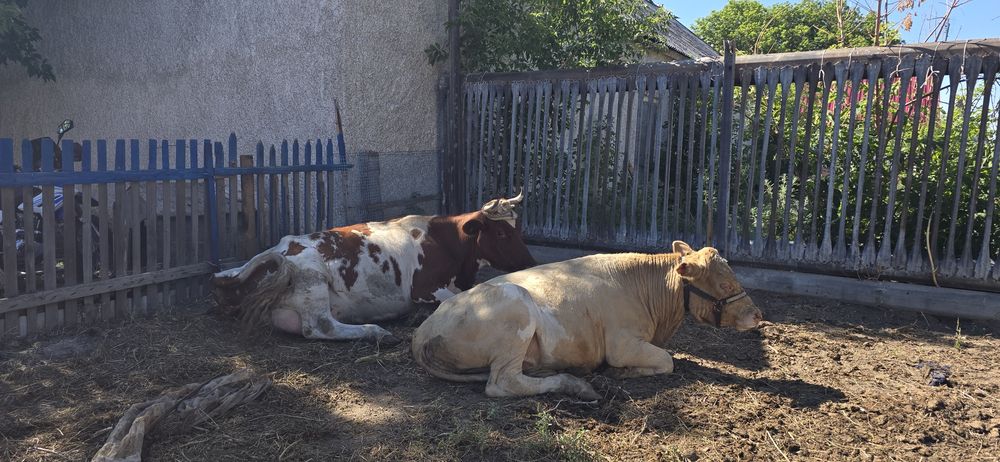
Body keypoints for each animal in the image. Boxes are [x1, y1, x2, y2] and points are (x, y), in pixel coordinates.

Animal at [211, 192, 536, 343]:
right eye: (501, 233)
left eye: (518, 227)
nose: (531, 263)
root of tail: (281, 247)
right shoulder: (424, 288)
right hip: (312, 279)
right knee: (321, 327)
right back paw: (377, 332)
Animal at [411, 241, 762, 399]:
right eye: (725, 284)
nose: (757, 314)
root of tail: (423, 330)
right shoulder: (622, 345)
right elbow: (667, 361)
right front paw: (622, 373)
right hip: (516, 312)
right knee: (502, 383)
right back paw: (576, 384)